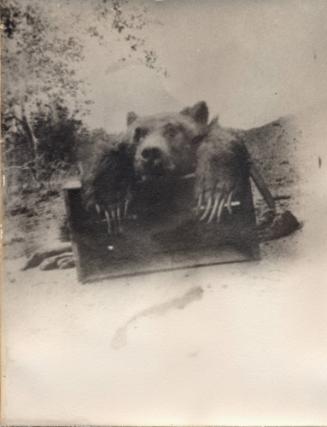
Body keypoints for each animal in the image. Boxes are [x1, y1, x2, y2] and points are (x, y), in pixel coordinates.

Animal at [83, 101, 252, 234]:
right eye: (138, 134)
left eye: (172, 131)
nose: (150, 153)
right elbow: (109, 153)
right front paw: (111, 204)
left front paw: (213, 195)